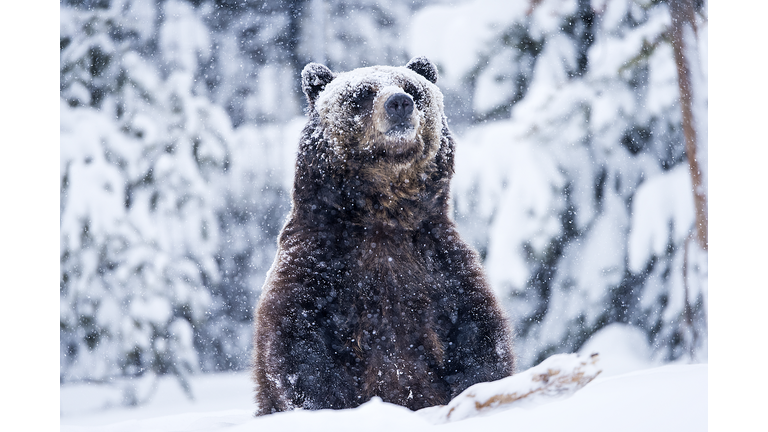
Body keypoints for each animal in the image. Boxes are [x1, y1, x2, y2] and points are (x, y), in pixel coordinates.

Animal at [252, 57, 512, 416]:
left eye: (412, 88)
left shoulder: (439, 264)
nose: (399, 103)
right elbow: (298, 343)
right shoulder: (320, 261)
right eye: (362, 93)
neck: (384, 216)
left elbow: (478, 334)